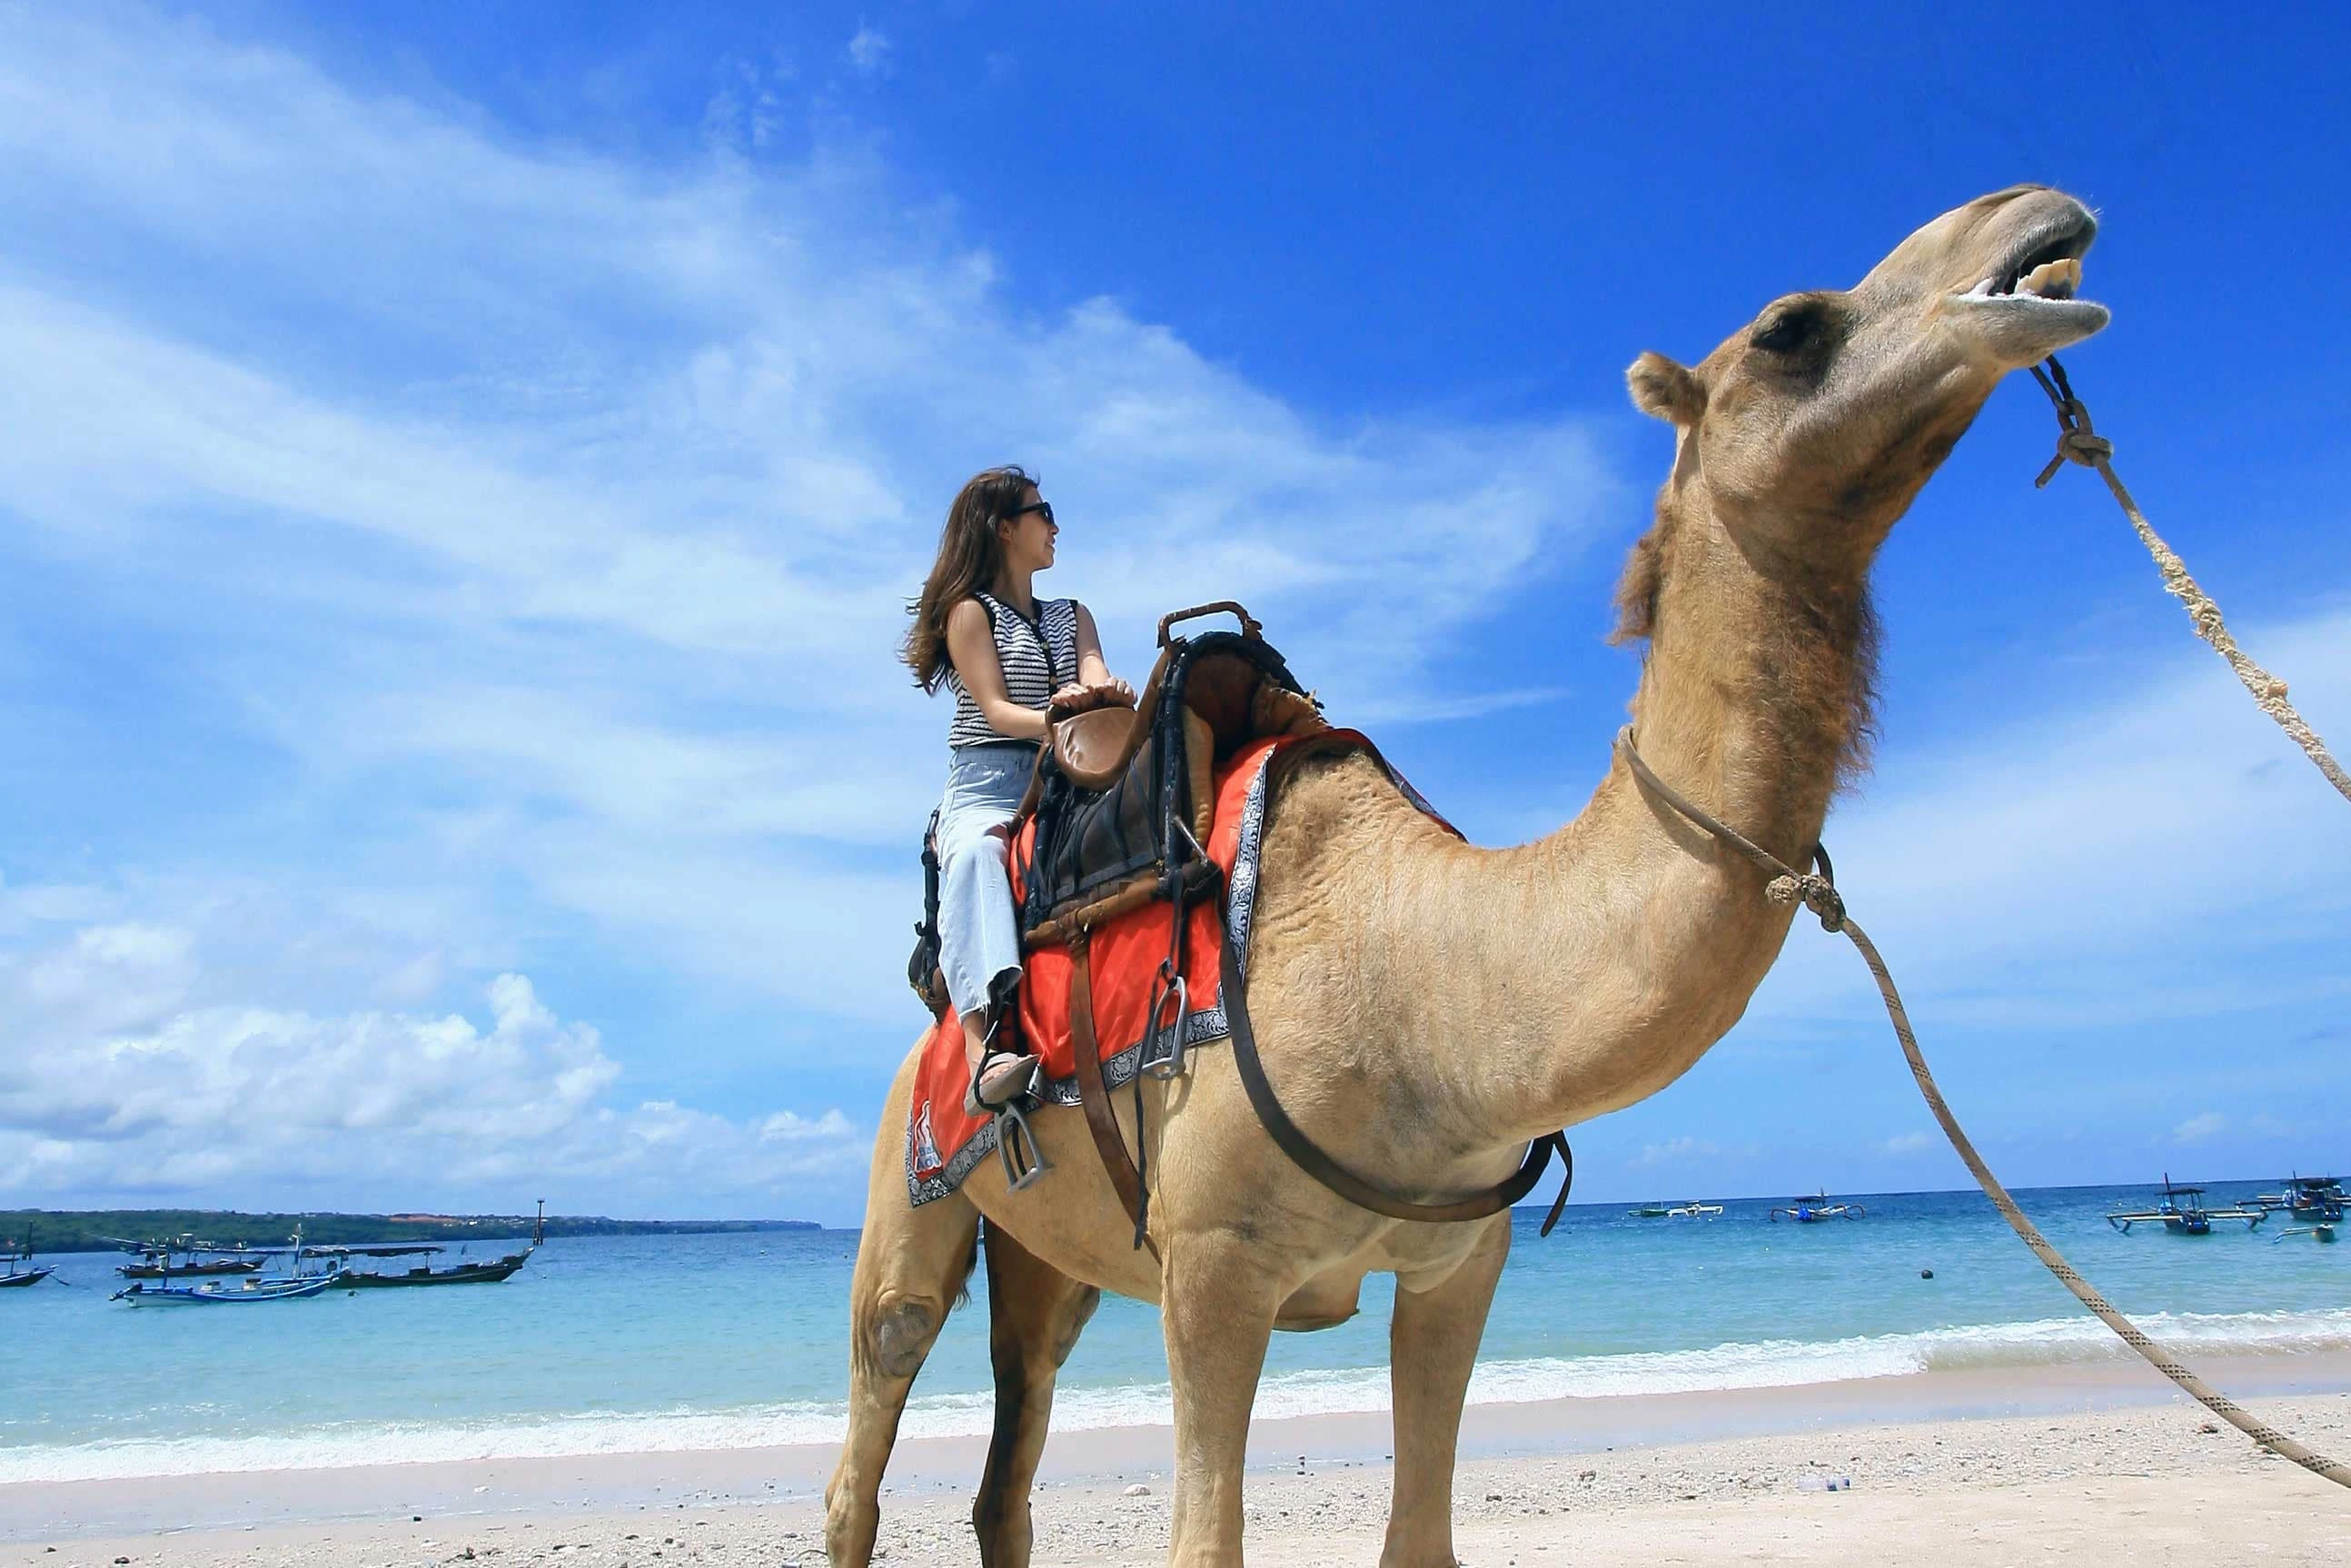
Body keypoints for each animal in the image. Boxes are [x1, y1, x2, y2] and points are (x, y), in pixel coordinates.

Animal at [825, 185, 2112, 1567]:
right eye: (1788, 327)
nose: (2039, 220)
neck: (1429, 979)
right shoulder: (1213, 1264)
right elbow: (1205, 1541)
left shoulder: (1457, 1264)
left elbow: (1421, 1534)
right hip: (909, 1186)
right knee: (876, 1402)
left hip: (1053, 1260)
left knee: (1008, 1455)